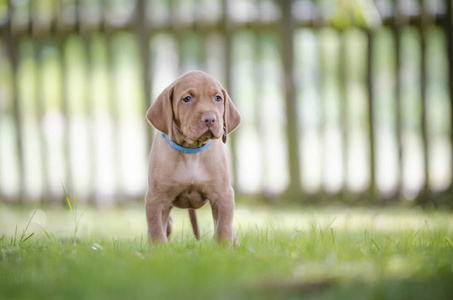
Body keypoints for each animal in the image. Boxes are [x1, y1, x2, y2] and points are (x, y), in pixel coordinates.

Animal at [147, 71, 242, 246]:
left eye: (218, 98)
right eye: (187, 99)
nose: (210, 119)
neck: (191, 152)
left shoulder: (223, 196)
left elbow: (223, 230)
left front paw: (224, 250)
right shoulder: (156, 199)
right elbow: (156, 231)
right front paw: (158, 252)